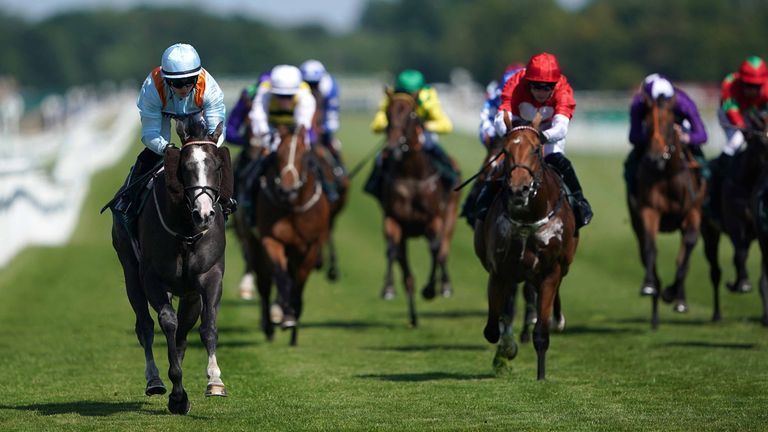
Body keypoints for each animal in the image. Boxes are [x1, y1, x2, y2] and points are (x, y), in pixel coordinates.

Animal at [107, 113, 231, 414]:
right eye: (185, 167)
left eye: (217, 165)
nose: (204, 214)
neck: (186, 230)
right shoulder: (151, 276)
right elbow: (166, 322)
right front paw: (177, 394)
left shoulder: (209, 275)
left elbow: (207, 326)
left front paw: (215, 381)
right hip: (130, 270)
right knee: (145, 325)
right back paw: (154, 379)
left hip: (189, 292)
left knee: (184, 333)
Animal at [248, 124, 328, 344]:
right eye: (279, 154)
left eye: (303, 154)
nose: (287, 190)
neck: (292, 207)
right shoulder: (270, 239)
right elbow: (281, 276)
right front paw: (285, 317)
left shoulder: (312, 245)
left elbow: (299, 282)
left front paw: (293, 316)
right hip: (254, 245)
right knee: (265, 283)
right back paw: (269, 326)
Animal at [376, 91, 460, 328]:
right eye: (387, 113)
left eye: (411, 113)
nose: (393, 147)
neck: (412, 175)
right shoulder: (393, 221)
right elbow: (393, 253)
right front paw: (388, 288)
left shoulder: (433, 220)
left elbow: (434, 248)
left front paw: (430, 289)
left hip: (450, 217)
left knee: (443, 250)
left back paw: (445, 285)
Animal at [474, 113, 576, 380]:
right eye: (506, 150)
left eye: (536, 149)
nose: (518, 190)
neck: (528, 218)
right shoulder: (500, 271)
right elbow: (494, 326)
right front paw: (505, 351)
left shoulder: (550, 271)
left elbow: (541, 331)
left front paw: (541, 375)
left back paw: (557, 320)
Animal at [628, 91, 704, 328]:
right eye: (647, 122)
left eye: (670, 123)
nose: (653, 158)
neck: (668, 175)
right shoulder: (648, 210)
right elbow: (650, 248)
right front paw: (650, 286)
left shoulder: (692, 212)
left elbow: (686, 252)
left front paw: (673, 294)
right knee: (645, 251)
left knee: (684, 254)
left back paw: (679, 299)